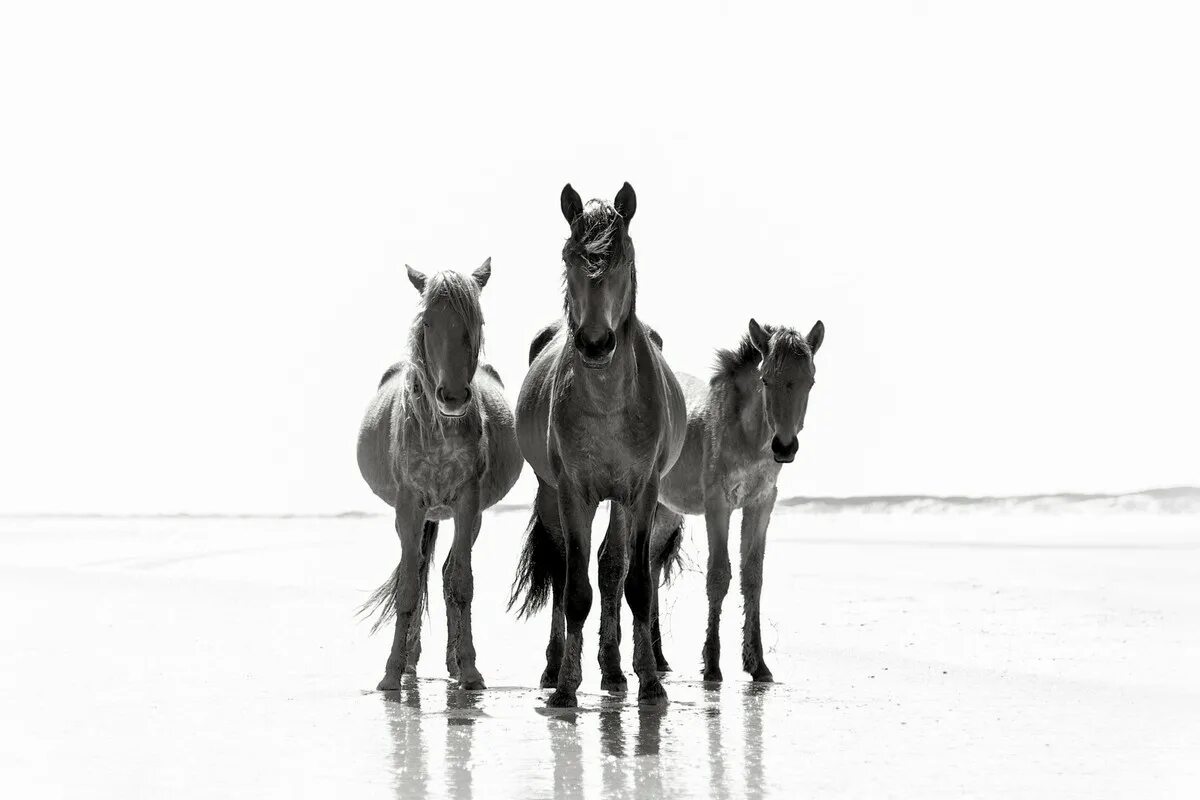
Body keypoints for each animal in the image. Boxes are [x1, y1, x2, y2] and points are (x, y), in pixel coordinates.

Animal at [357, 260, 523, 690]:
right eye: (428, 322)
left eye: (476, 320)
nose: (452, 396)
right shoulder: (409, 506)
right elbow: (408, 587)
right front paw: (391, 673)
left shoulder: (468, 504)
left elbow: (461, 583)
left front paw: (470, 670)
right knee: (417, 572)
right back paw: (410, 663)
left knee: (447, 574)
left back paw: (452, 663)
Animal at [511, 183, 691, 705]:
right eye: (570, 257)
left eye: (623, 258)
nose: (594, 344)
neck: (609, 402)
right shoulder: (573, 492)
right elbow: (574, 590)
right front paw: (565, 687)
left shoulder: (641, 491)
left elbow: (633, 583)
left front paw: (650, 682)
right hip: (549, 490)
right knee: (560, 567)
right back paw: (554, 667)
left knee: (612, 567)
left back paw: (613, 670)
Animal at [648, 319, 825, 681]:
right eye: (765, 379)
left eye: (810, 381)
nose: (784, 447)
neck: (747, 434)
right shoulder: (718, 505)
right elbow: (719, 575)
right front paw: (712, 664)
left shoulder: (761, 505)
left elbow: (752, 577)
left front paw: (758, 665)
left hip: (667, 511)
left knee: (650, 564)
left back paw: (657, 657)